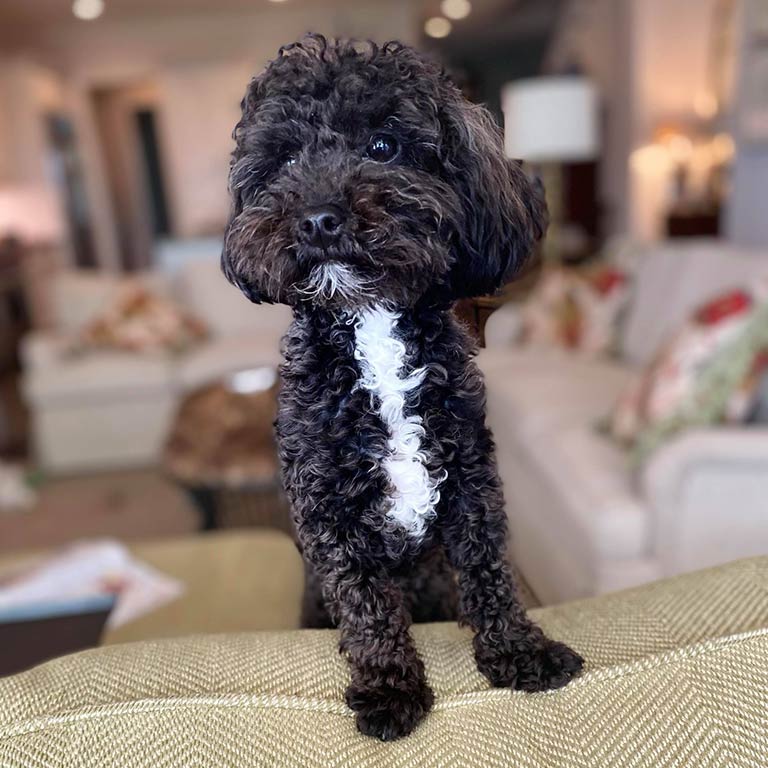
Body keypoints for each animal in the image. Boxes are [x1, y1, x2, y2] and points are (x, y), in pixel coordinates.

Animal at [222, 34, 584, 736]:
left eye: (383, 146)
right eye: (285, 158)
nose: (317, 220)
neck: (371, 323)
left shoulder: (471, 479)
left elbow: (489, 570)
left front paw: (518, 652)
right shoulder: (329, 510)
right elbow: (366, 604)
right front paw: (390, 687)